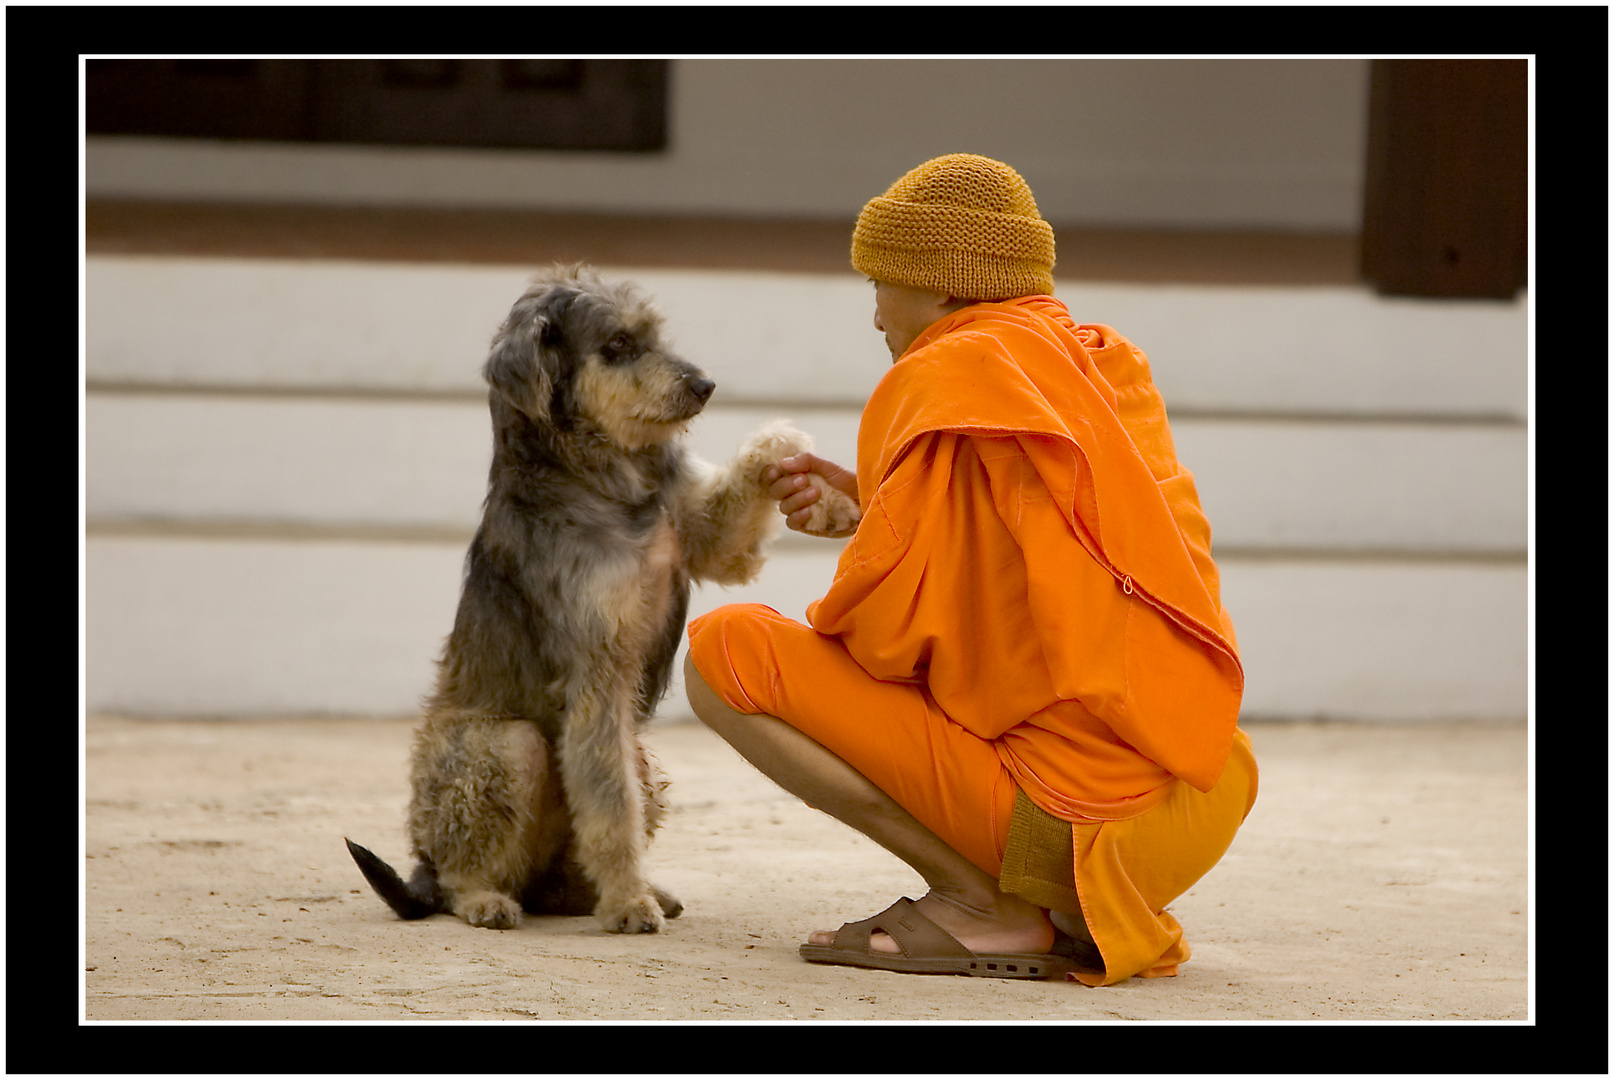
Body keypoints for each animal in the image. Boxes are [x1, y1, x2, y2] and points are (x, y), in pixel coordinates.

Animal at [342, 264, 858, 929]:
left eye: (655, 335)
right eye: (617, 344)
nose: (705, 386)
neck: (606, 479)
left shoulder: (706, 538)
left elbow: (758, 461)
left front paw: (822, 494)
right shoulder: (598, 671)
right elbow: (612, 809)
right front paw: (629, 905)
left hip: (641, 758)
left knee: (565, 874)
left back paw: (610, 892)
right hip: (506, 749)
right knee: (468, 869)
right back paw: (489, 899)